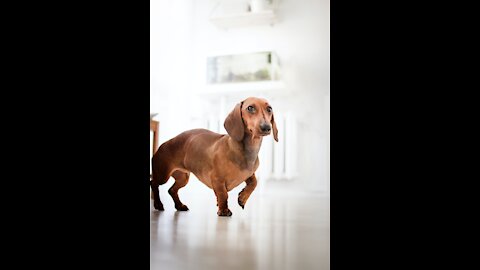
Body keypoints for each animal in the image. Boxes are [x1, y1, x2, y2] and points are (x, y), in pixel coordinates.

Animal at [150, 96, 278, 216]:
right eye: (250, 108)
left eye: (269, 109)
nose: (266, 127)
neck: (246, 150)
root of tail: (163, 144)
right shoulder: (217, 179)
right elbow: (223, 194)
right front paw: (224, 210)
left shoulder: (249, 174)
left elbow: (254, 183)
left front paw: (242, 198)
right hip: (163, 175)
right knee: (153, 183)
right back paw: (158, 204)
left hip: (183, 178)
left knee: (171, 190)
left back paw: (179, 206)